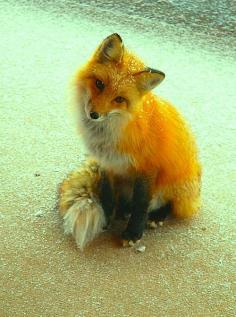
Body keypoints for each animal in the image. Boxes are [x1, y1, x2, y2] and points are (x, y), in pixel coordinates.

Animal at [59, 33, 201, 248]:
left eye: (119, 99)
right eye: (99, 84)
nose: (94, 115)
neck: (108, 133)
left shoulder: (147, 168)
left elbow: (141, 204)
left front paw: (133, 233)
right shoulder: (107, 163)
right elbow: (107, 195)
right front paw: (107, 219)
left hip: (174, 182)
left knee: (172, 204)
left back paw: (156, 216)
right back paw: (123, 210)